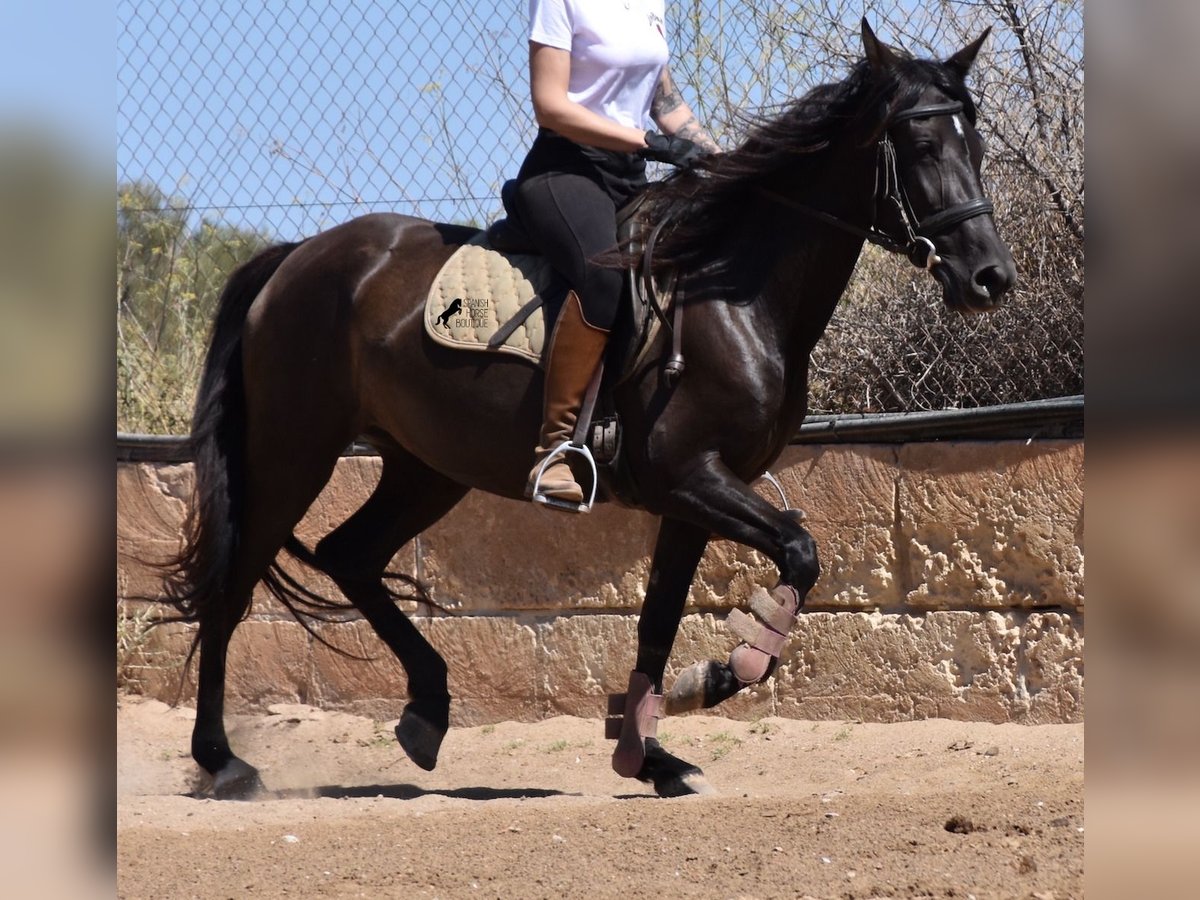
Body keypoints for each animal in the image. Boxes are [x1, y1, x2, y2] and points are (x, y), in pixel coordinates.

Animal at [164, 19, 1017, 796]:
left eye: (974, 147)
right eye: (921, 148)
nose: (991, 279)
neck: (732, 292)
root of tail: (294, 258)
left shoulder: (692, 495)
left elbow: (659, 618)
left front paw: (649, 754)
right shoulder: (688, 476)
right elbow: (801, 553)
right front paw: (720, 673)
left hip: (426, 466)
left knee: (349, 555)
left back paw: (426, 714)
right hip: (293, 451)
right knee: (233, 585)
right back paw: (224, 762)